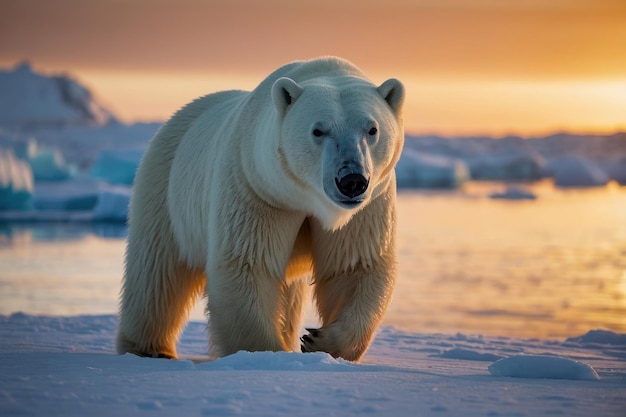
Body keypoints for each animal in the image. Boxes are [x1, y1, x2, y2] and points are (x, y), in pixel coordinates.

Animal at [116, 56, 404, 360]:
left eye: (372, 129)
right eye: (318, 130)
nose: (351, 180)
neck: (303, 196)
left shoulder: (367, 207)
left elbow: (355, 266)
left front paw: (319, 341)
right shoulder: (257, 189)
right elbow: (249, 264)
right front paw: (270, 353)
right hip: (166, 188)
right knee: (157, 272)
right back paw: (149, 349)